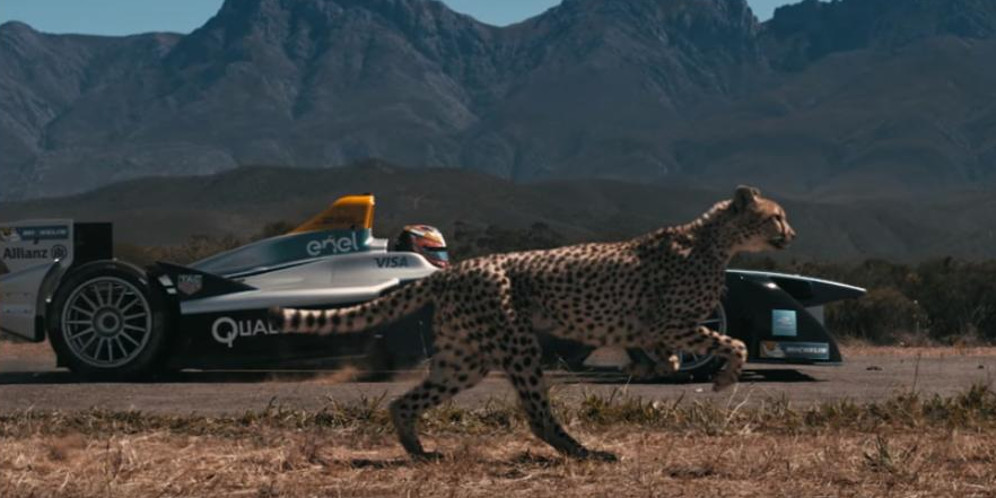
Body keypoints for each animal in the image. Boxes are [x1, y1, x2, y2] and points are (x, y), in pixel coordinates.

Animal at [269, 185, 795, 461]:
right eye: (776, 216)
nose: (790, 234)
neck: (716, 240)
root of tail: (459, 268)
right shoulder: (670, 320)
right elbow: (733, 343)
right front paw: (723, 379)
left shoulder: (653, 327)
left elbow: (673, 349)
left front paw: (658, 366)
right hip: (516, 346)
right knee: (538, 413)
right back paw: (584, 451)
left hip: (464, 359)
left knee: (406, 400)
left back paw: (419, 450)